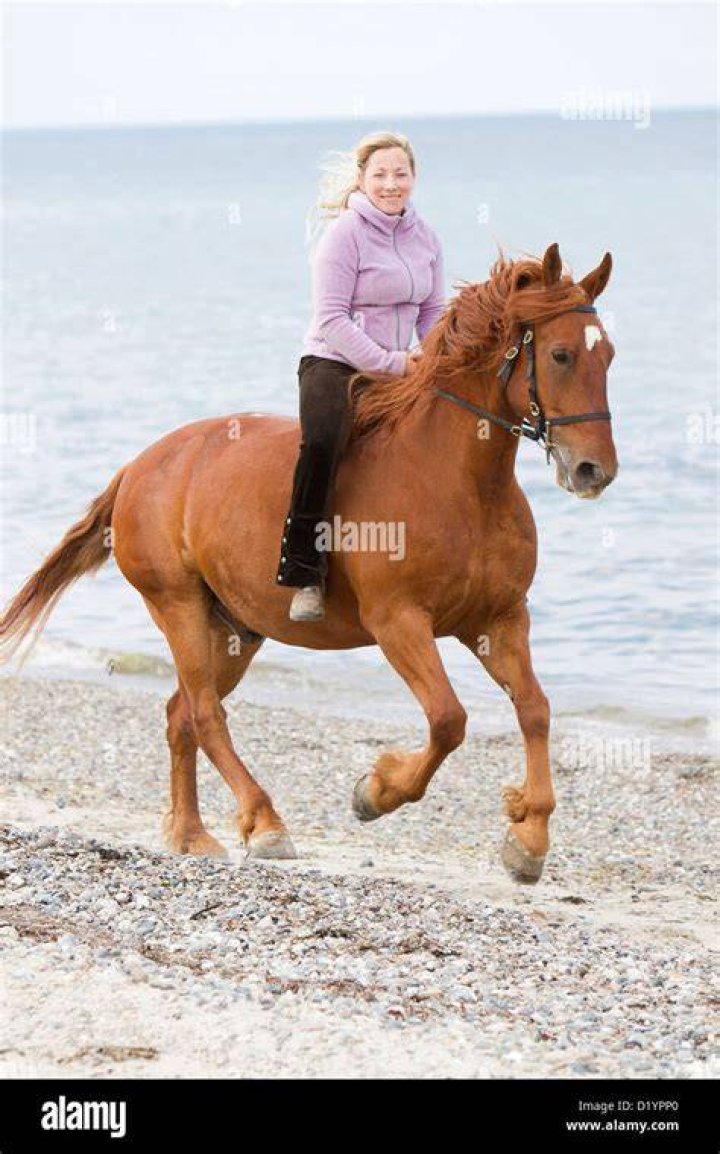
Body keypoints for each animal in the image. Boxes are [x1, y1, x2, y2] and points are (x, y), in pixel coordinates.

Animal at [0, 243, 617, 884]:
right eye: (561, 355)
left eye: (609, 356)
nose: (593, 471)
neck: (462, 483)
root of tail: (140, 466)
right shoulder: (399, 622)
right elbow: (449, 719)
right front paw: (375, 791)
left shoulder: (498, 620)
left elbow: (536, 710)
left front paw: (529, 837)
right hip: (178, 606)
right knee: (204, 713)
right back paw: (265, 824)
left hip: (235, 630)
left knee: (181, 713)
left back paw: (192, 834)